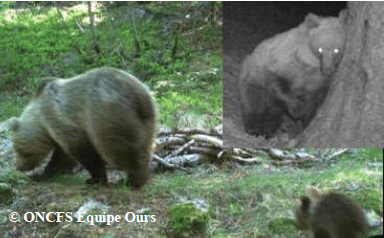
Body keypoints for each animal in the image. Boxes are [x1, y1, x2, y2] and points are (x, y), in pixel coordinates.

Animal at [9, 67, 157, 188]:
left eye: (18, 149)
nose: (19, 167)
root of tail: (139, 95)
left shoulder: (64, 120)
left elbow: (81, 153)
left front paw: (95, 179)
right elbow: (64, 155)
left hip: (107, 115)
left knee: (118, 149)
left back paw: (132, 180)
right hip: (148, 121)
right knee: (144, 146)